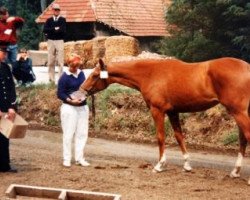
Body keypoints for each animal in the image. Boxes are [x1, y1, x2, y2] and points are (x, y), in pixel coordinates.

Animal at [79, 57, 250, 184]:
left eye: (95, 75)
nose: (82, 90)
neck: (150, 73)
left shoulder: (157, 111)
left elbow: (160, 137)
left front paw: (160, 165)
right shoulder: (173, 112)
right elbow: (179, 137)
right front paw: (187, 165)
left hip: (239, 112)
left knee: (246, 136)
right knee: (242, 140)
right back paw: (235, 172)